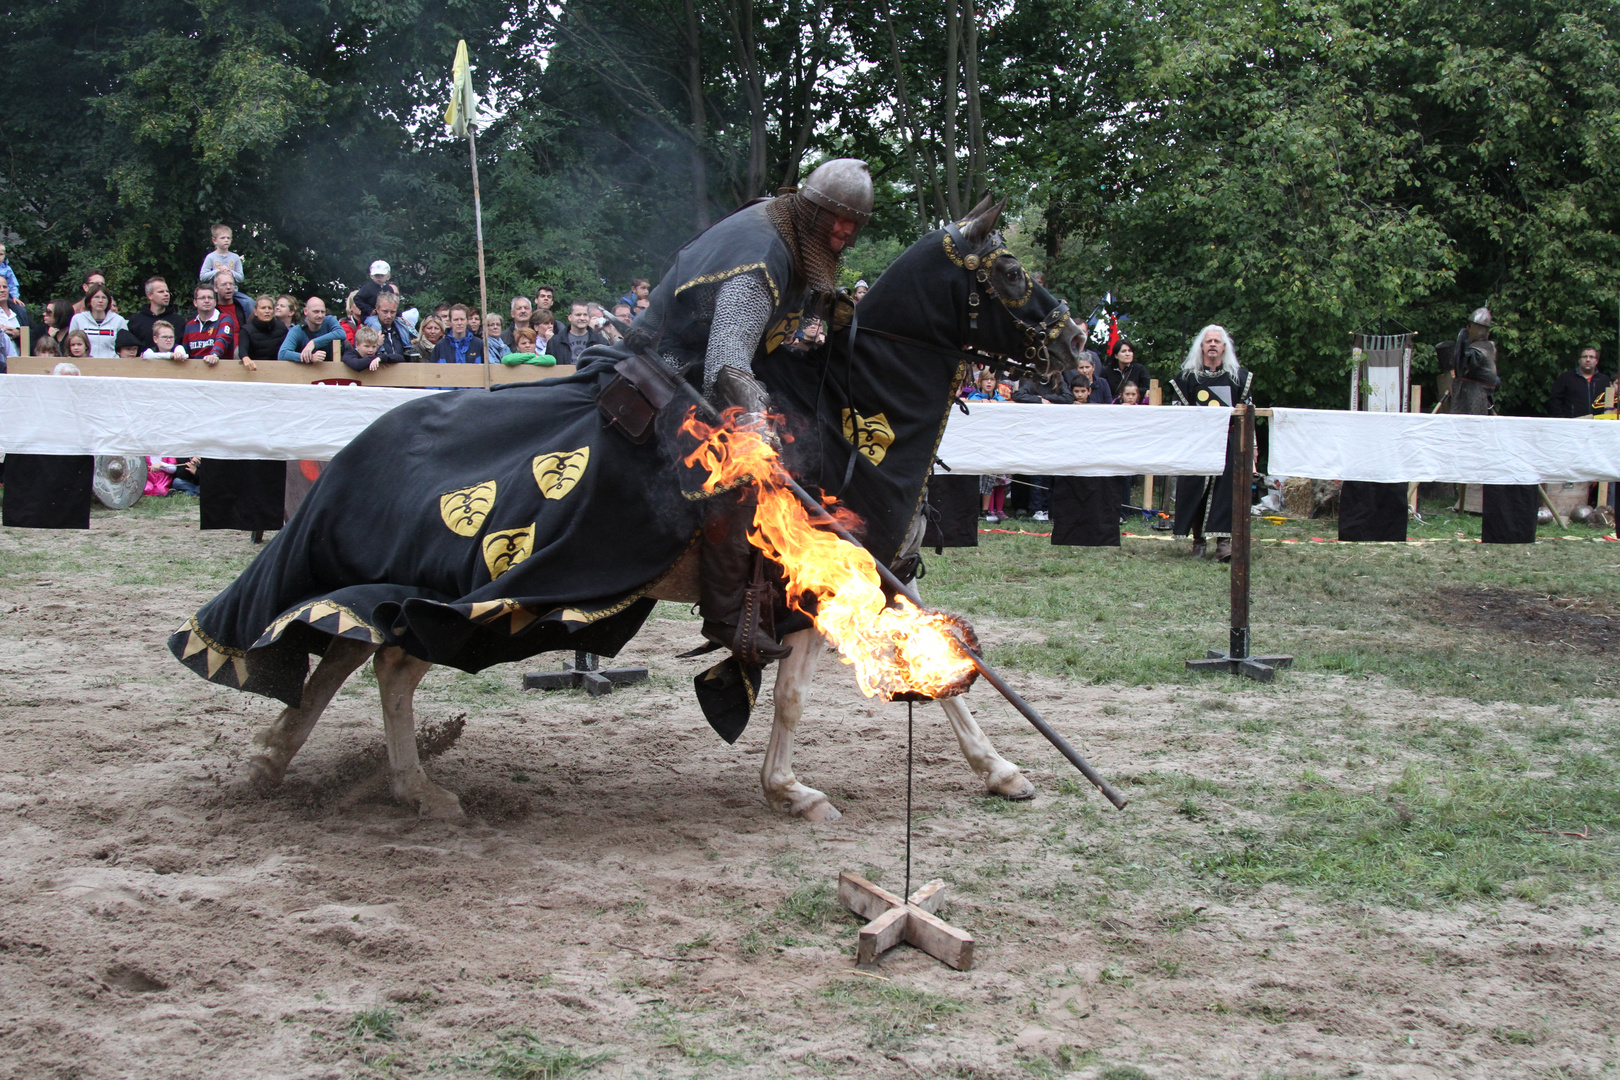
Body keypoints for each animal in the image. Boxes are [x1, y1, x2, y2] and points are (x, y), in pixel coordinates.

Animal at [212, 196, 1075, 819]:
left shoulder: (884, 572)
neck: (851, 412)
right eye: (1007, 270)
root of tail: (357, 453)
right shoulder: (815, 585)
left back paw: (289, 762)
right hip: (457, 596)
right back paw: (402, 784)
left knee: (351, 650)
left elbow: (948, 670)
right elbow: (794, 698)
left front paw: (1000, 770)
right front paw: (788, 790)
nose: (1071, 345)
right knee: (381, 660)